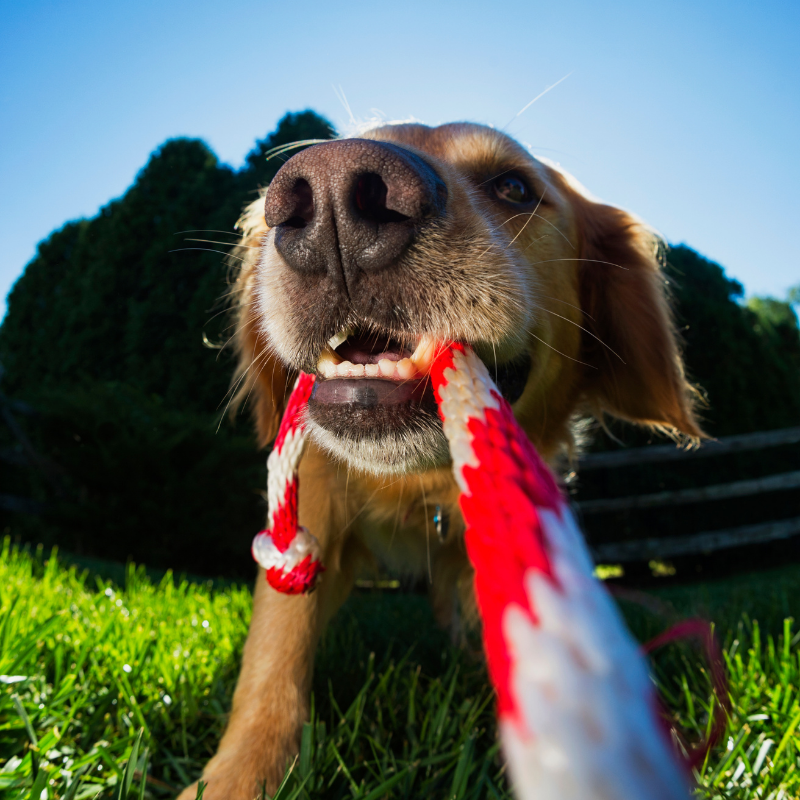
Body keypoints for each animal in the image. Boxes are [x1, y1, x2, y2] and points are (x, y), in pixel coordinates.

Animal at [180, 120, 700, 800]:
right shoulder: (312, 504)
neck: (416, 487)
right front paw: (241, 774)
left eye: (514, 187)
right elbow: (277, 645)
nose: (335, 192)